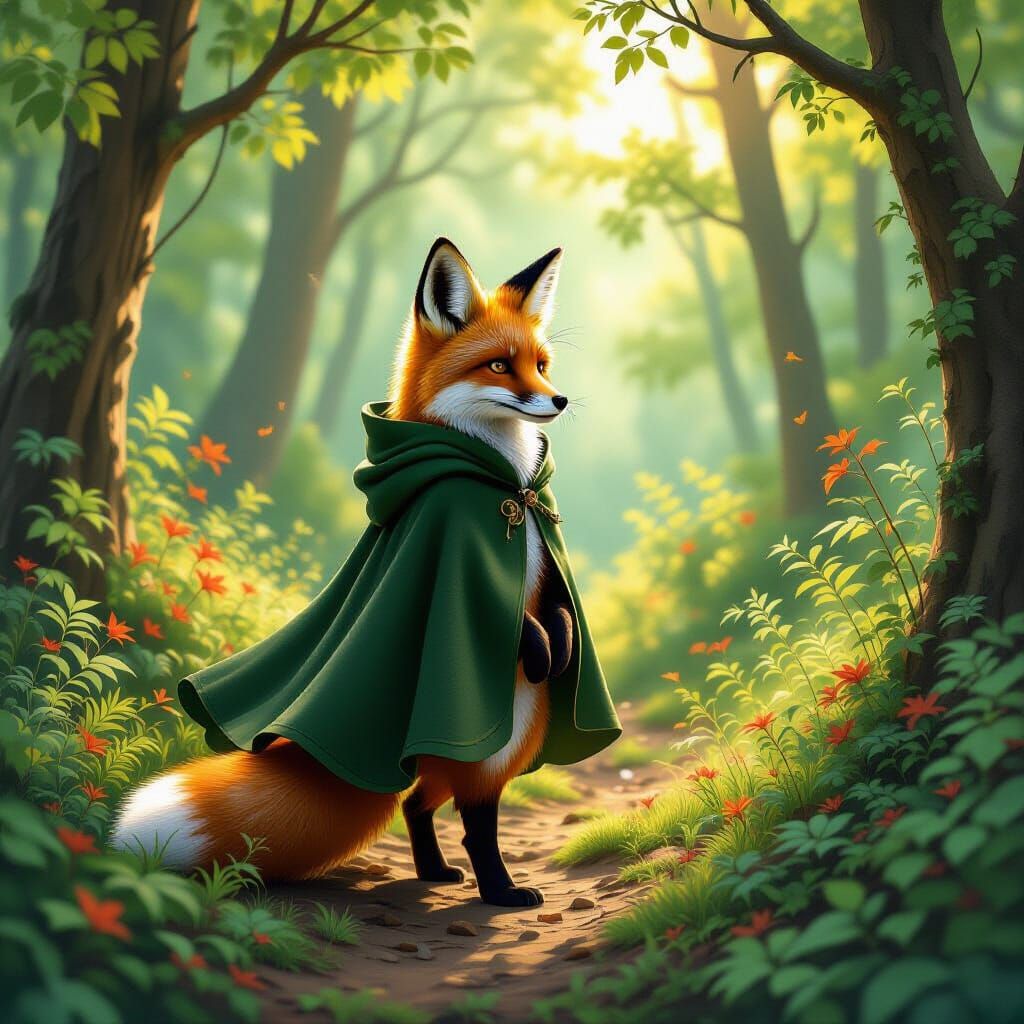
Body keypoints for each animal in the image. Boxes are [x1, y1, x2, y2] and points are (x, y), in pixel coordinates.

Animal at [112, 238, 581, 907]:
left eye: (541, 365)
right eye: (498, 366)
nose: (560, 399)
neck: (506, 483)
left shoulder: (543, 563)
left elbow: (555, 609)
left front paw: (561, 642)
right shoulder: (452, 533)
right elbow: (521, 624)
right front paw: (539, 645)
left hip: (508, 742)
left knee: (420, 804)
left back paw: (441, 872)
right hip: (485, 742)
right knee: (465, 819)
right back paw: (495, 889)